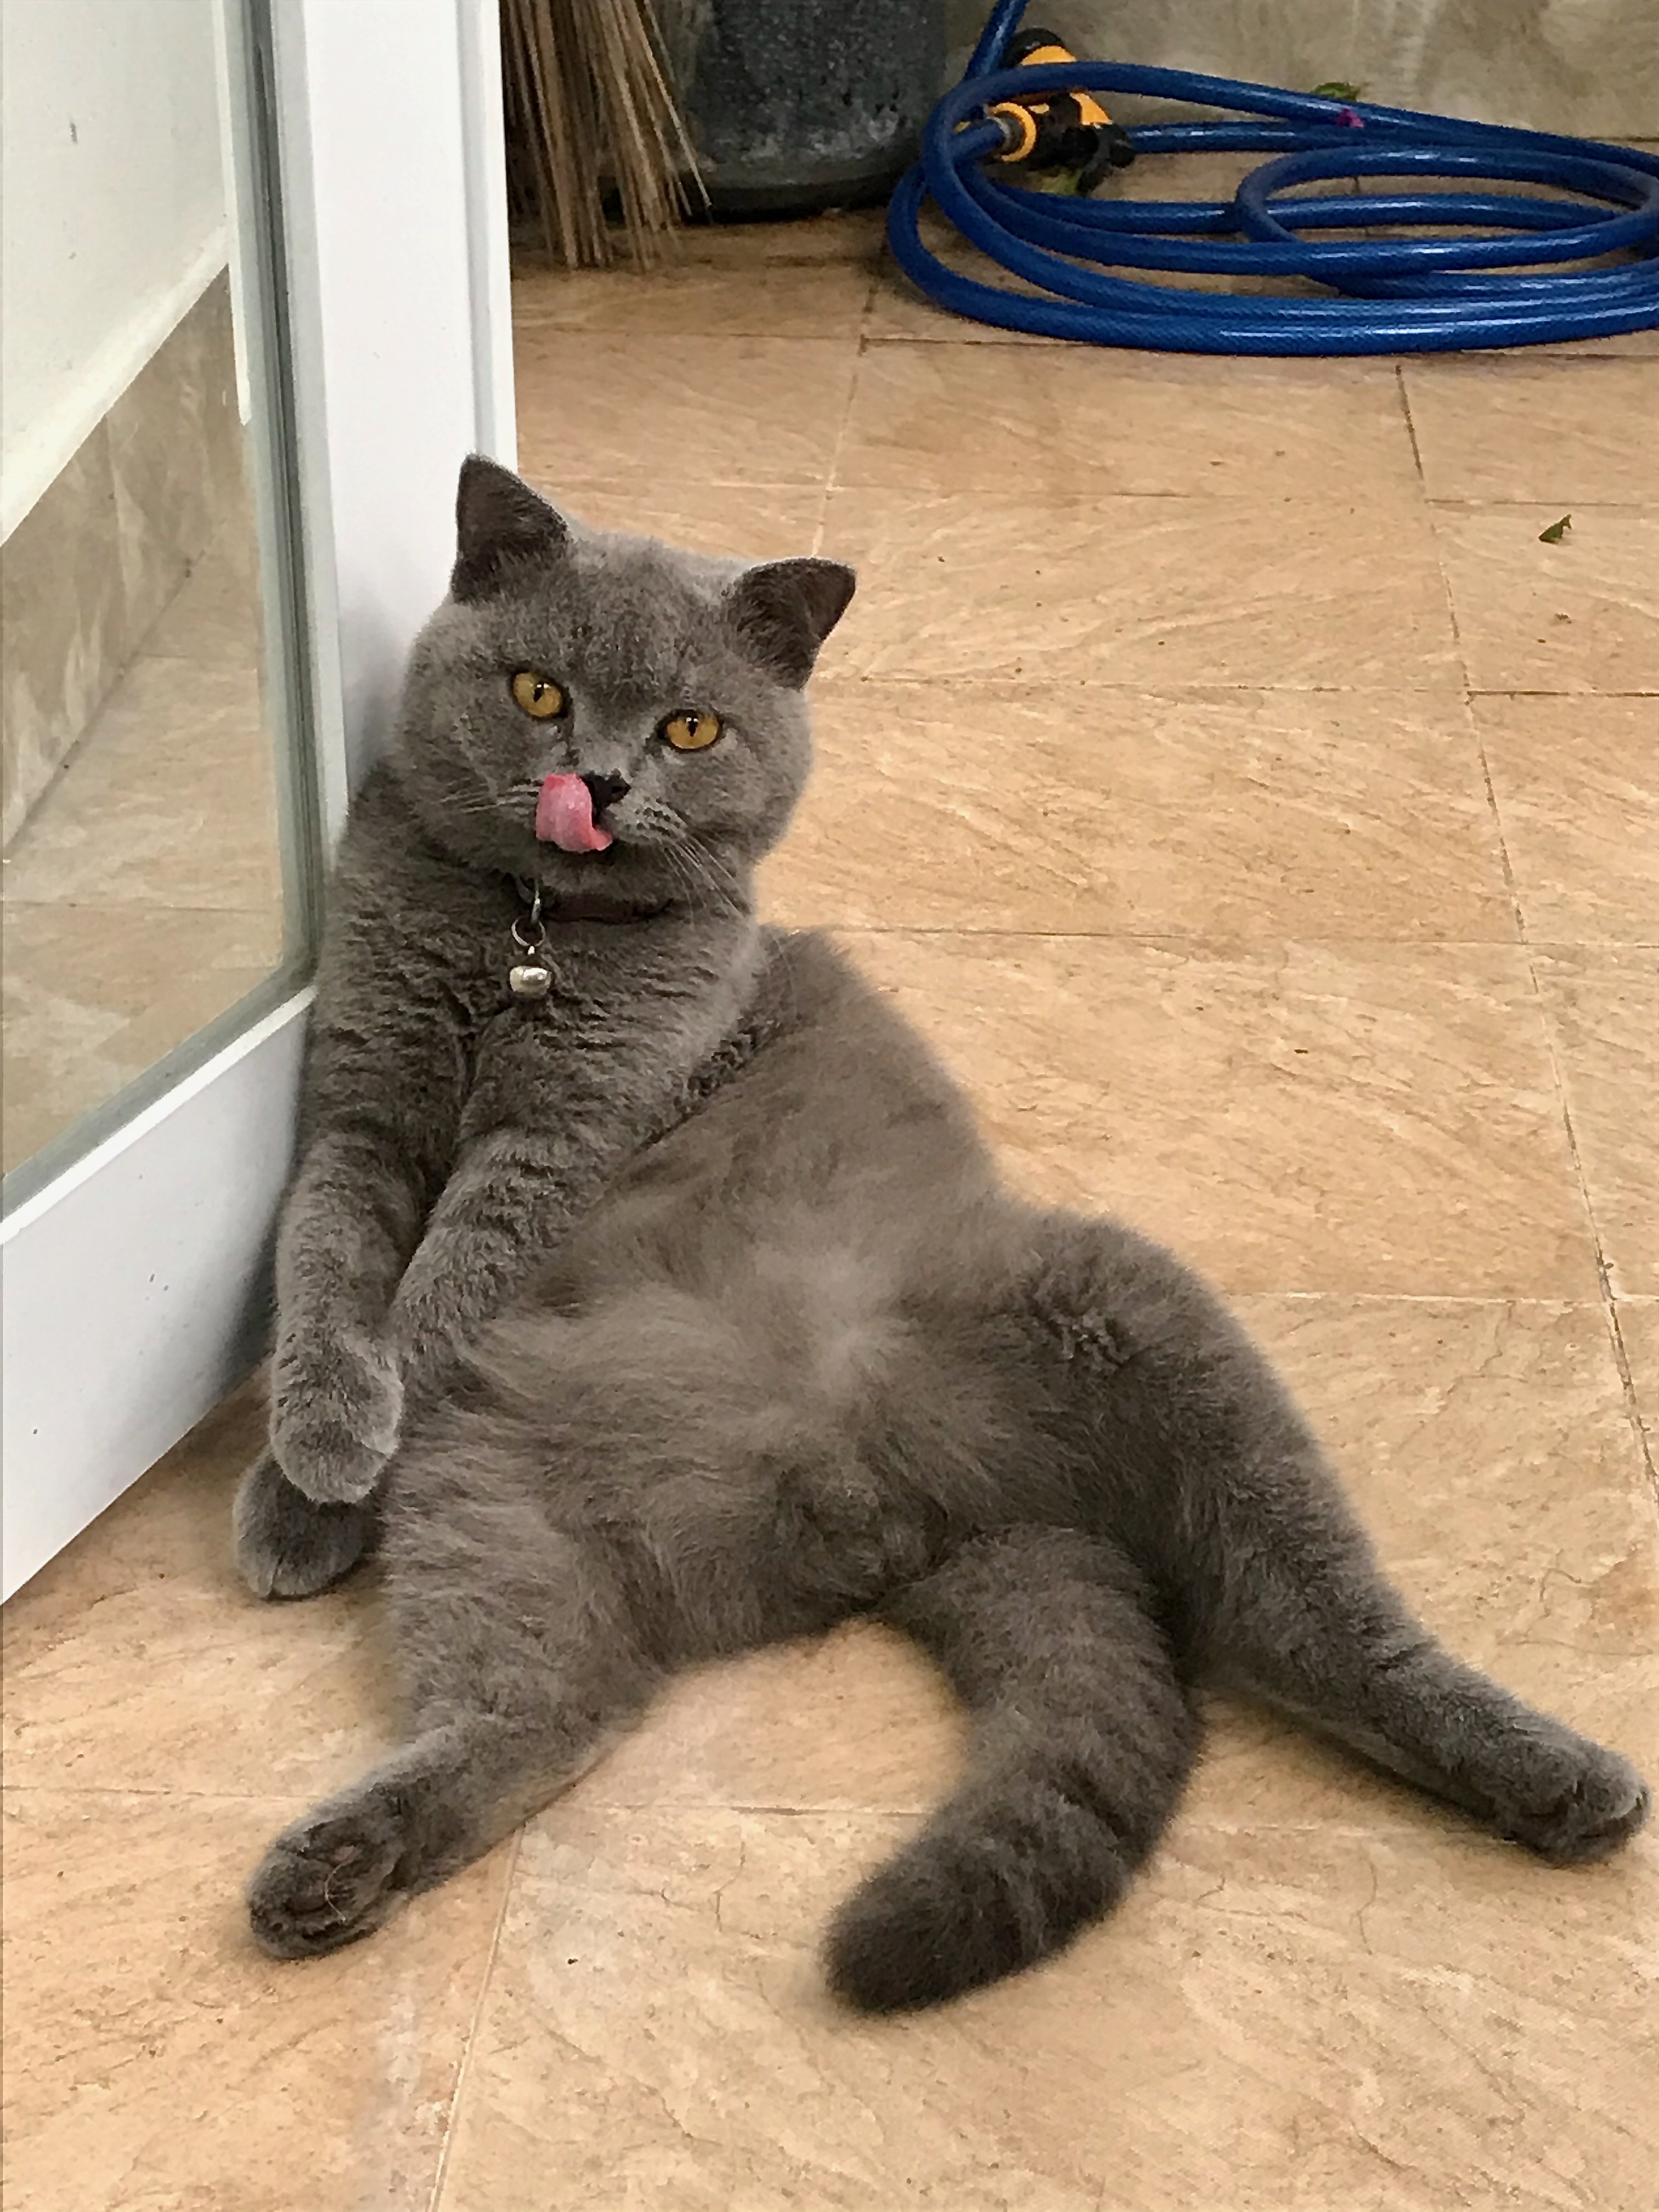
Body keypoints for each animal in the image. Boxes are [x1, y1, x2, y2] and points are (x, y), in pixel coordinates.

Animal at [235, 455, 1649, 2011]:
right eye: (539, 691)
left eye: (690, 727)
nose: (597, 782)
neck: (528, 938)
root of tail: (907, 1504)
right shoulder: (357, 1112)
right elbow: (329, 1274)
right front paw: (306, 1479)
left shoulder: (560, 1142)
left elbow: (435, 1292)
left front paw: (312, 1486)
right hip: (492, 1486)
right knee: (554, 1715)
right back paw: (331, 1874)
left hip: (1140, 1316)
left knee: (1324, 1630)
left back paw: (1559, 1782)